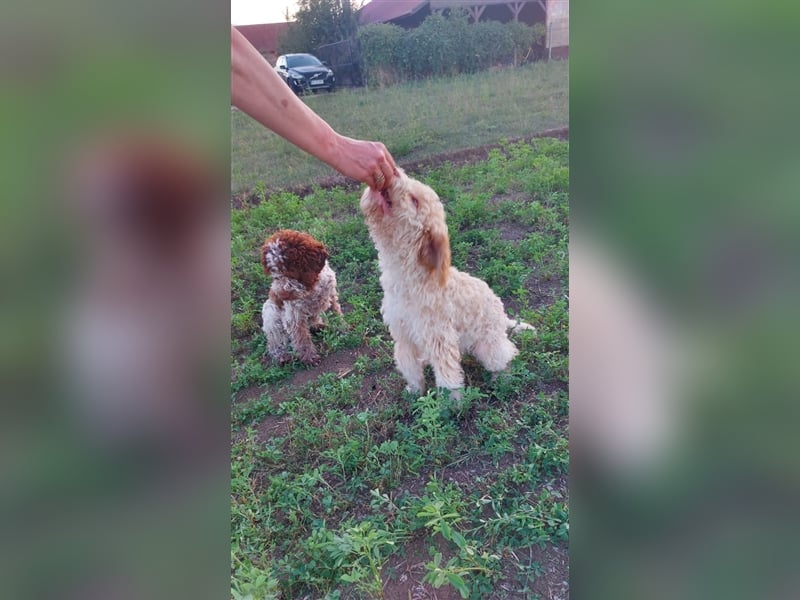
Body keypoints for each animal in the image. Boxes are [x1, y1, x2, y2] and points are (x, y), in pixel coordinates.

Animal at [260, 229, 340, 364]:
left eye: (291, 272)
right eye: (275, 275)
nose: (281, 294)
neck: (310, 287)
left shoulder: (331, 294)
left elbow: (336, 313)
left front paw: (343, 328)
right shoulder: (293, 314)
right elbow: (301, 337)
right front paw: (309, 357)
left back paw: (318, 326)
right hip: (270, 312)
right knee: (275, 340)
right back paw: (282, 356)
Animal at [360, 166, 536, 396]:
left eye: (415, 201)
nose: (394, 171)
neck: (410, 277)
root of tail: (503, 315)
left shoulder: (439, 337)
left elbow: (448, 375)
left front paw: (451, 401)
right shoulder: (404, 335)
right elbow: (409, 366)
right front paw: (415, 391)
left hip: (489, 345)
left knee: (506, 354)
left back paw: (502, 379)